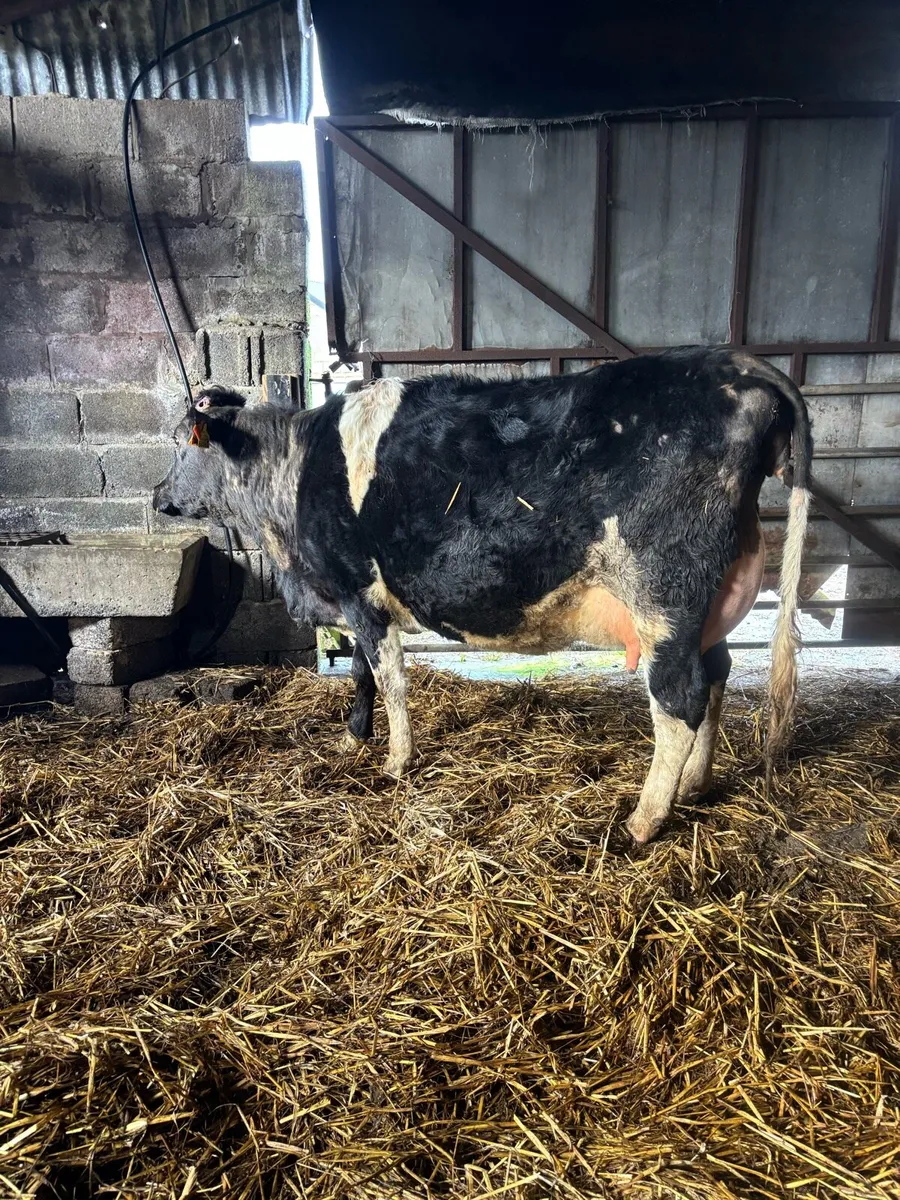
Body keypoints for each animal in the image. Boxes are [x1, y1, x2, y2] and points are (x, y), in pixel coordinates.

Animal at [153, 347, 812, 843]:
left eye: (184, 443)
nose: (158, 496)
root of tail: (734, 361)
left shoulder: (357, 589)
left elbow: (389, 678)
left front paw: (396, 761)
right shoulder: (351, 595)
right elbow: (362, 674)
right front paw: (352, 738)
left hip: (664, 596)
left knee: (681, 699)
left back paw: (643, 821)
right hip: (709, 605)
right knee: (717, 674)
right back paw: (696, 785)